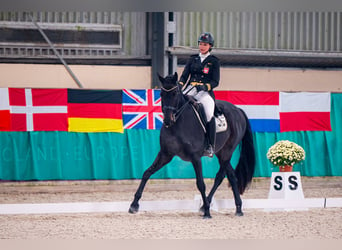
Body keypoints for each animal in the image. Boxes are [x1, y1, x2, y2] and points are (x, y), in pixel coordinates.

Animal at [128, 72, 254, 217]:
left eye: (175, 93)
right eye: (161, 94)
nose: (167, 120)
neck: (177, 124)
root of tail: (238, 110)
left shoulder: (195, 157)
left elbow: (200, 183)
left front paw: (207, 212)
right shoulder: (165, 154)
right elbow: (147, 173)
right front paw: (134, 205)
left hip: (227, 151)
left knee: (220, 176)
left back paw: (211, 207)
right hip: (221, 152)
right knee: (231, 176)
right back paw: (237, 208)